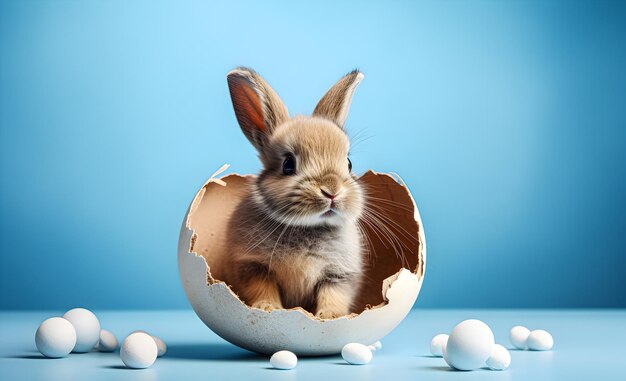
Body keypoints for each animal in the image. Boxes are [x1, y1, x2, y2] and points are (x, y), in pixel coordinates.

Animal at [221, 67, 364, 318]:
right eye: (288, 164)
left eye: (348, 163)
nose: (332, 191)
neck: (306, 226)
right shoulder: (253, 266)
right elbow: (263, 289)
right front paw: (267, 308)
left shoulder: (338, 274)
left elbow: (333, 295)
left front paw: (330, 316)